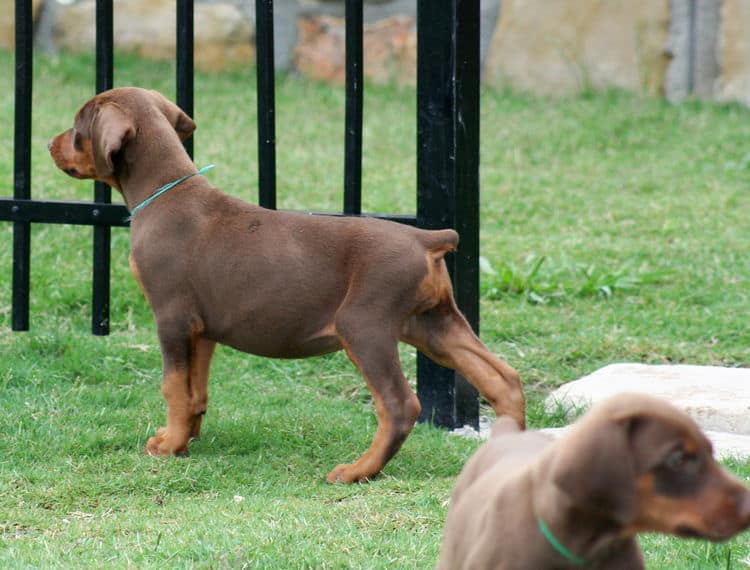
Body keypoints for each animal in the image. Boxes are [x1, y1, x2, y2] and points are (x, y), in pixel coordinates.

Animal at [47, 86, 528, 482]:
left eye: (77, 126)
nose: (49, 144)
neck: (165, 192)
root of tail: (426, 238)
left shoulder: (171, 318)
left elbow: (173, 387)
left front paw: (168, 446)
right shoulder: (202, 329)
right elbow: (195, 390)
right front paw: (186, 438)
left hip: (364, 325)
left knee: (399, 405)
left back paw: (357, 471)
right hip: (435, 324)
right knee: (504, 378)